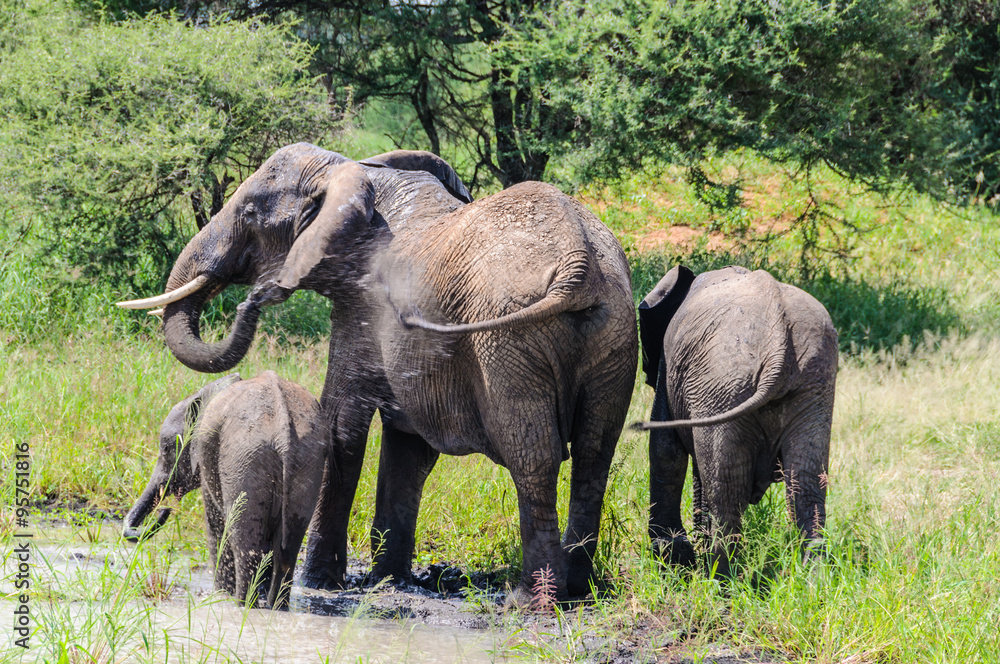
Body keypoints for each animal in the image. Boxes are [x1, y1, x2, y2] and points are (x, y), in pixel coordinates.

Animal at [119, 370, 326, 608]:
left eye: (167, 448)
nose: (166, 509)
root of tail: (283, 433)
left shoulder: (207, 454)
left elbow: (216, 522)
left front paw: (219, 594)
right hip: (307, 461)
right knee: (289, 547)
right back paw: (276, 608)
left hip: (245, 461)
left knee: (245, 543)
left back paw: (242, 604)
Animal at [636, 264, 840, 576]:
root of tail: (778, 347)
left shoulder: (668, 371)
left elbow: (665, 449)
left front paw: (674, 559)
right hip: (811, 384)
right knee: (806, 485)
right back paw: (813, 577)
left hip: (722, 385)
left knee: (726, 491)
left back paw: (719, 577)